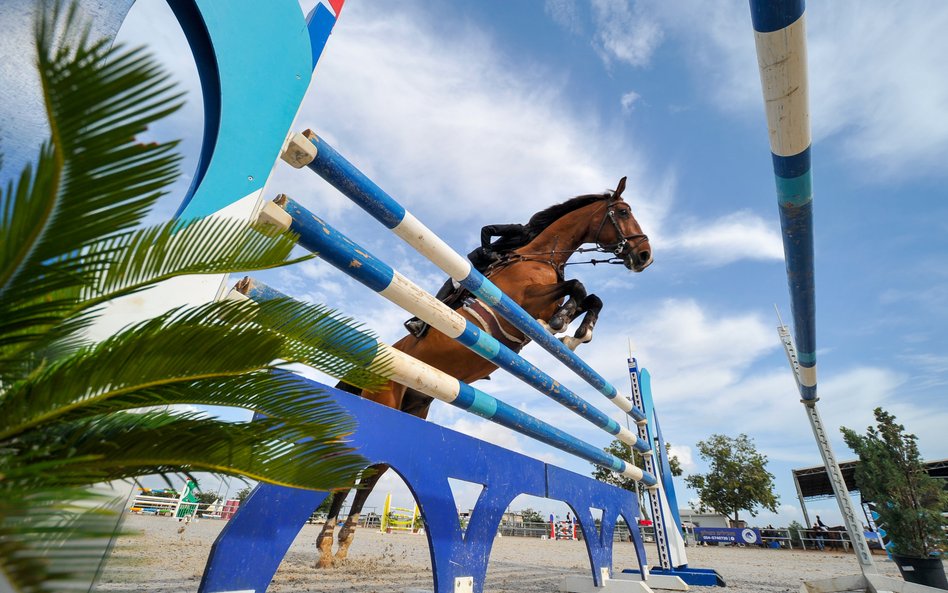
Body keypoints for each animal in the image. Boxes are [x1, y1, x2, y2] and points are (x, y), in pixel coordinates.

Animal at [316, 175, 652, 564]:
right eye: (623, 211)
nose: (645, 256)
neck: (541, 255)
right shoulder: (524, 301)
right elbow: (578, 287)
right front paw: (563, 322)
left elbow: (592, 297)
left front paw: (577, 334)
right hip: (383, 401)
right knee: (360, 465)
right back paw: (326, 545)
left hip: (411, 409)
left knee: (373, 472)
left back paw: (342, 544)